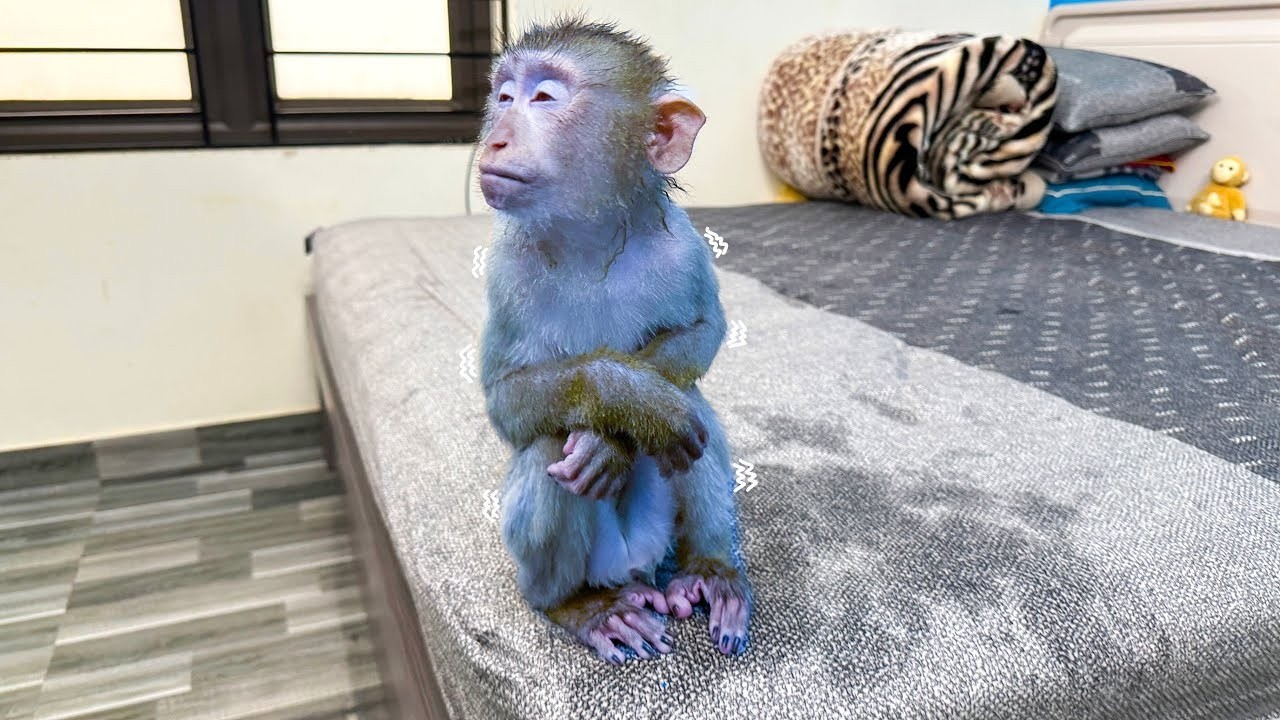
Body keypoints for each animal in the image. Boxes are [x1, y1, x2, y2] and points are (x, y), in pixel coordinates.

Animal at [476, 17, 752, 664]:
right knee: (550, 445)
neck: (590, 239)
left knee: (697, 414)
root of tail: (632, 569)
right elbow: (507, 402)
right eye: (503, 96)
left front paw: (619, 438)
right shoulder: (505, 271)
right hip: (585, 563)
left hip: (658, 540)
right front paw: (628, 401)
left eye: (543, 97)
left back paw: (709, 572)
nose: (495, 140)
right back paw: (579, 607)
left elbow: (703, 330)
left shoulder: (683, 245)